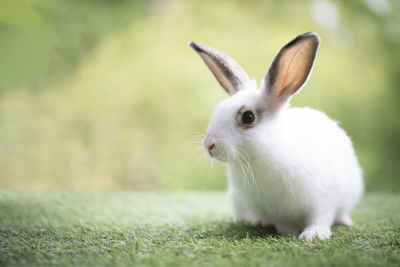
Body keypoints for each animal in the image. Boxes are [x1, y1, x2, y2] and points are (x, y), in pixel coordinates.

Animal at [189, 32, 364, 242]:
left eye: (248, 117)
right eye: (218, 109)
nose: (209, 144)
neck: (261, 156)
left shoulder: (323, 199)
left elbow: (320, 217)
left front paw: (313, 235)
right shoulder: (273, 210)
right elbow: (283, 223)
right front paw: (288, 232)